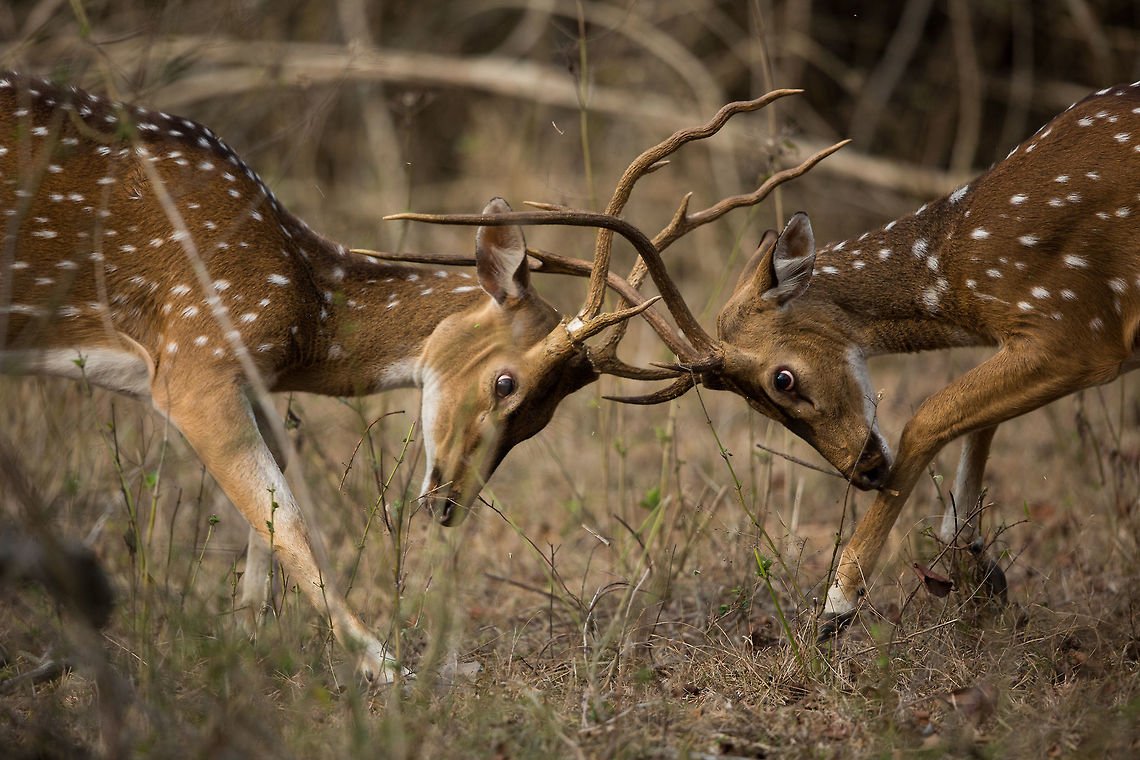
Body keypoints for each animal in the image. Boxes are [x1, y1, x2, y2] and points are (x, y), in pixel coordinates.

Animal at [0, 70, 720, 682]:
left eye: (545, 419)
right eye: (505, 383)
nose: (448, 505)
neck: (299, 307)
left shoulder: (240, 377)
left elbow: (270, 505)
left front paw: (246, 642)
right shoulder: (193, 359)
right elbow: (290, 521)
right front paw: (387, 666)